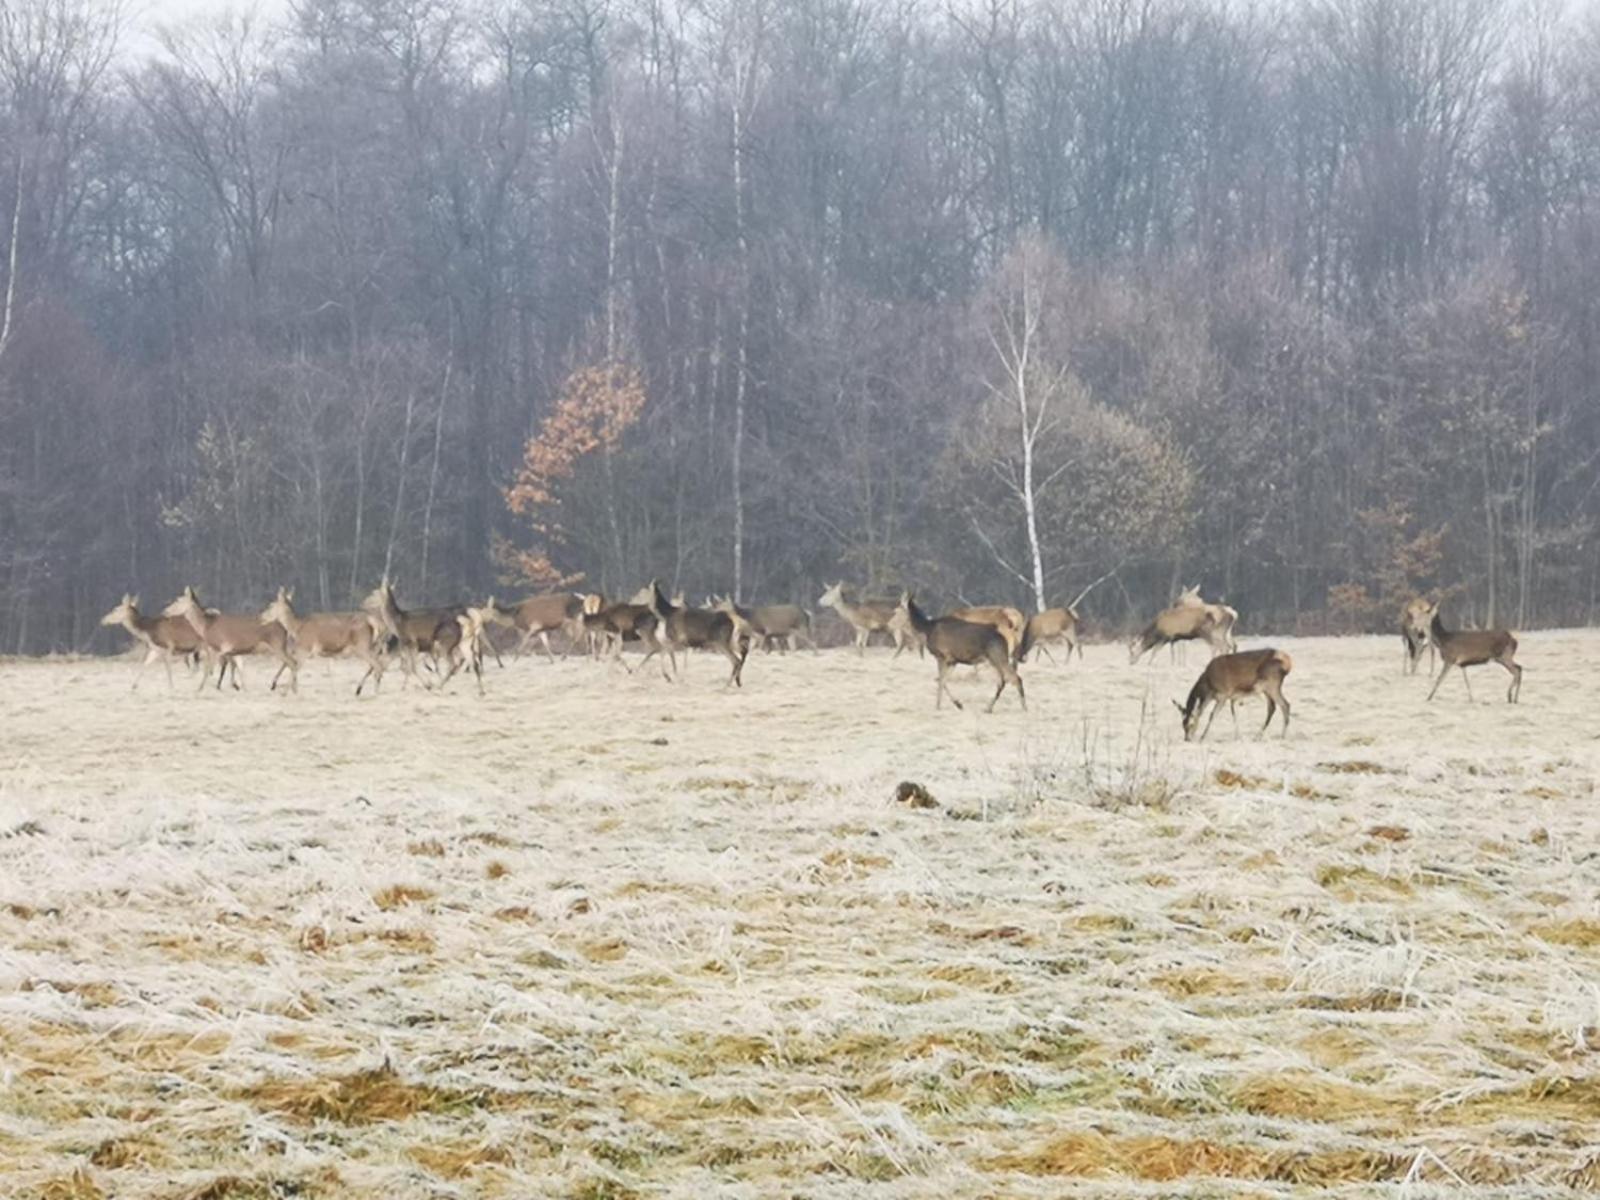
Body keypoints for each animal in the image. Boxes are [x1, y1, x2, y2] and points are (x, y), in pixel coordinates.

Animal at [163, 585, 300, 691]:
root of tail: (284, 627)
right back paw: (280, 685)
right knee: (291, 662)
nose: (165, 611)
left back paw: (290, 689)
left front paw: (199, 689)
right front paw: (240, 687)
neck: (206, 627)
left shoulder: (222, 646)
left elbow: (209, 667)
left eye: (178, 600)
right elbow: (236, 666)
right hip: (281, 646)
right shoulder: (232, 650)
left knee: (292, 662)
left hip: (276, 644)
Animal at [260, 588, 392, 694]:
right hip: (374, 646)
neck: (297, 627)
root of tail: (376, 623)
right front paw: (279, 686)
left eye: (271, 605)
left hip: (362, 646)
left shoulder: (305, 647)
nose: (262, 617)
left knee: (378, 666)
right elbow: (289, 664)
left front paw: (286, 691)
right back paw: (359, 689)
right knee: (375, 666)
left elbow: (293, 666)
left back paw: (374, 692)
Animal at [896, 595, 1030, 713]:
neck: (927, 628)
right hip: (996, 659)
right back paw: (988, 708)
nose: (893, 621)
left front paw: (940, 705)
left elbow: (940, 680)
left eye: (899, 607)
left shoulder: (942, 656)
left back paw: (1024, 707)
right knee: (1002, 681)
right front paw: (957, 704)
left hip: (998, 656)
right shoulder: (953, 660)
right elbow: (942, 680)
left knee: (1015, 678)